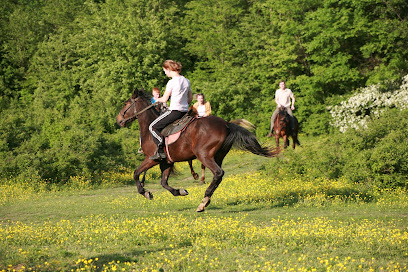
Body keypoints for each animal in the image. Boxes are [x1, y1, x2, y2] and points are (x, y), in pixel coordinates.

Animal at [116, 88, 278, 211]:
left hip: (204, 155)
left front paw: (145, 192)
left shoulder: (152, 159)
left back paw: (203, 201)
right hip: (218, 156)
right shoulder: (167, 162)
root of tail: (226, 124)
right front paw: (180, 191)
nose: (118, 121)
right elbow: (163, 183)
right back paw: (205, 199)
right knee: (218, 176)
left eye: (125, 104)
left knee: (218, 173)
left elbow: (136, 173)